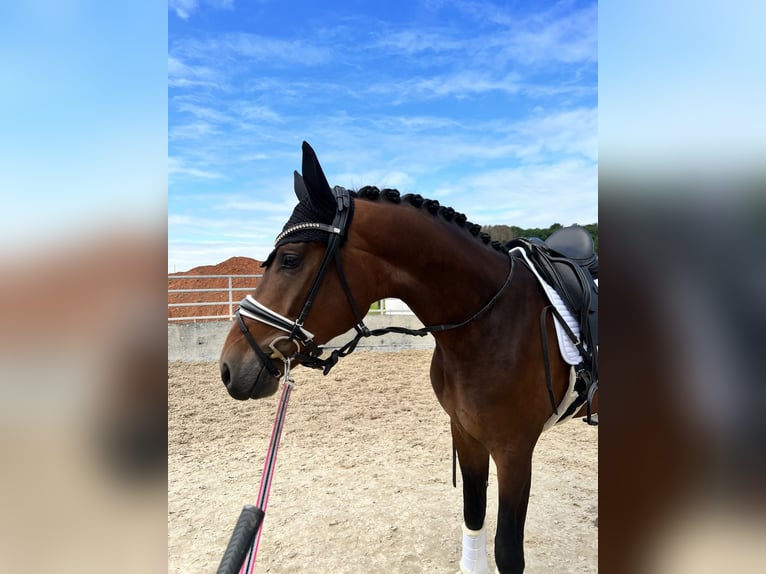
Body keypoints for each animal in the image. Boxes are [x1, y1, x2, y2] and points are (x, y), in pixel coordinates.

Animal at [219, 142, 598, 573]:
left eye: (290, 259)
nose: (229, 367)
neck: (491, 319)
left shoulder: (515, 451)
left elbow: (508, 552)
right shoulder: (466, 435)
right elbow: (473, 517)